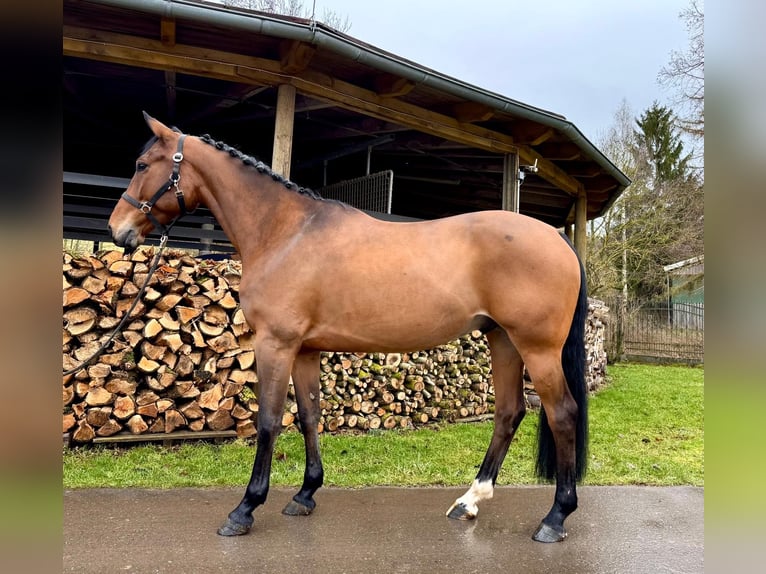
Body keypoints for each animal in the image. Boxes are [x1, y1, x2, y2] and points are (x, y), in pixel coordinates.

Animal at [106, 112, 588, 544]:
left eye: (142, 165)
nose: (117, 230)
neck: (287, 233)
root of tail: (556, 238)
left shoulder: (275, 345)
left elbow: (268, 421)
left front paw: (245, 509)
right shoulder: (304, 349)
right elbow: (308, 416)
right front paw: (305, 494)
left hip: (536, 347)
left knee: (562, 414)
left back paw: (555, 518)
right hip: (502, 340)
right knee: (508, 413)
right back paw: (470, 501)